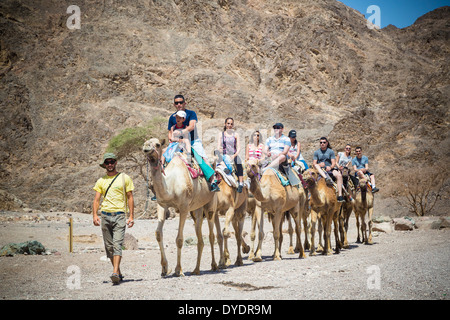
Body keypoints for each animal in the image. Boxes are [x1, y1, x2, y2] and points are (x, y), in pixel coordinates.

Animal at [142, 139, 225, 276]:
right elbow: (158, 233)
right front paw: (164, 268)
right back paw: (196, 269)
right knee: (200, 237)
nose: (146, 147)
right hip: (197, 209)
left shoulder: (184, 207)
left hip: (210, 204)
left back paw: (214, 265)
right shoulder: (162, 205)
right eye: (145, 143)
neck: (171, 184)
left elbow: (179, 239)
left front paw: (178, 270)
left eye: (158, 144)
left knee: (211, 235)